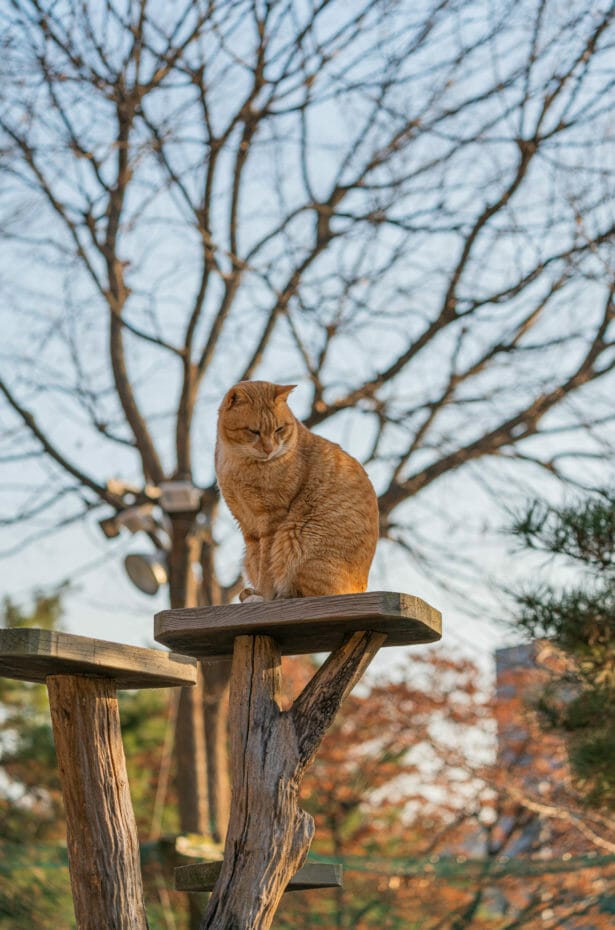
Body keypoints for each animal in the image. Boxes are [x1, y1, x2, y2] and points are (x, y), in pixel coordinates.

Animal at [217, 378, 380, 600]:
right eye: (253, 431)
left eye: (279, 429)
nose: (269, 449)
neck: (238, 461)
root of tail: (361, 587)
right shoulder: (247, 526)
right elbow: (258, 560)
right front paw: (258, 591)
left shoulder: (272, 519)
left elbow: (266, 565)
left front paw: (262, 595)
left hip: (295, 537)